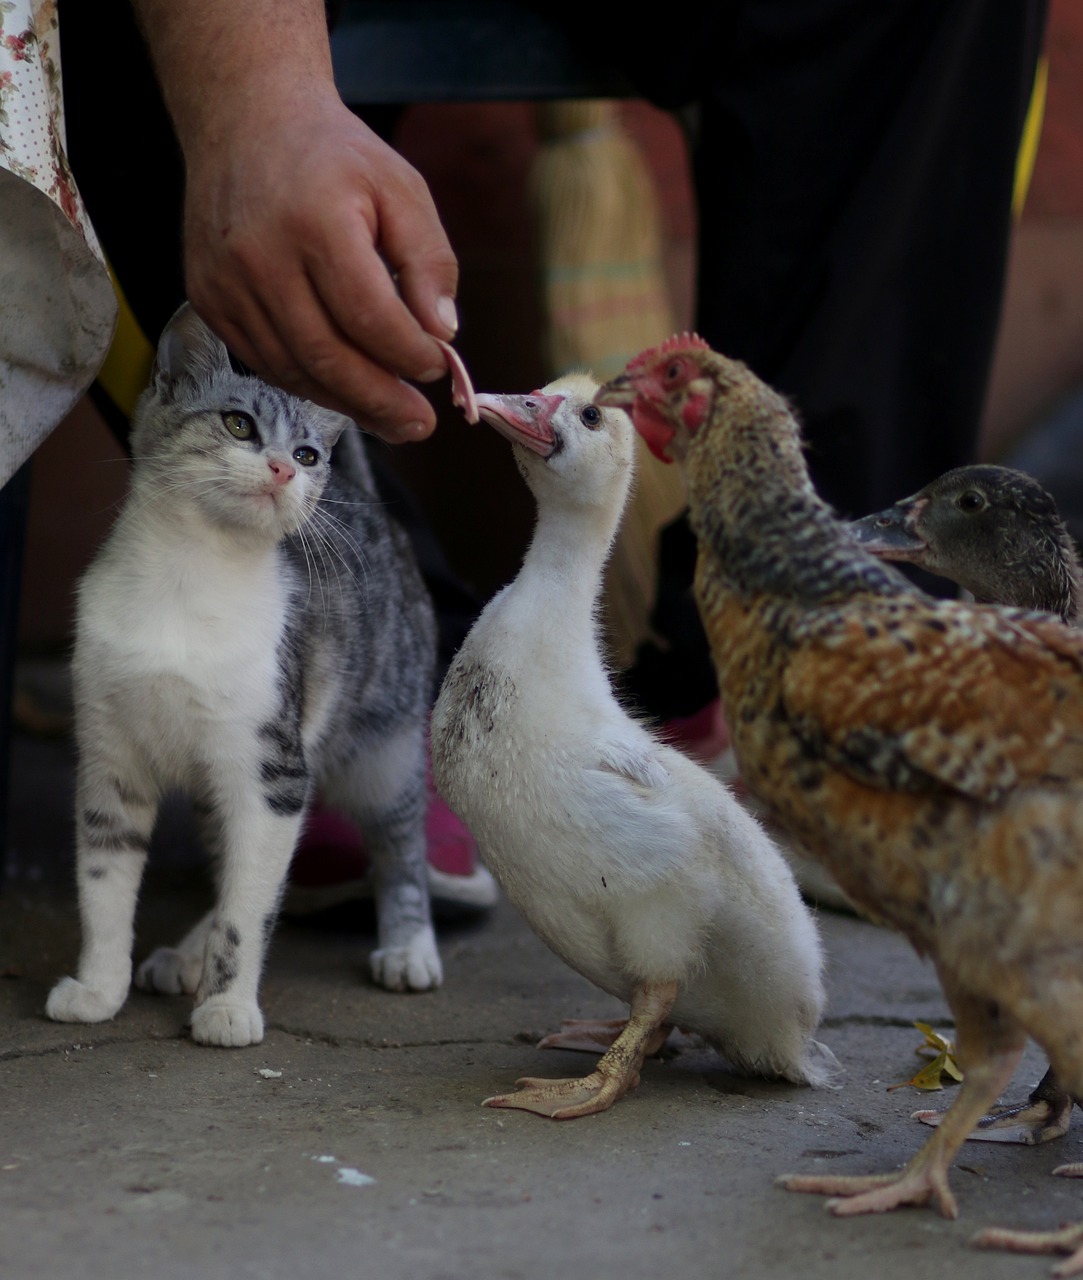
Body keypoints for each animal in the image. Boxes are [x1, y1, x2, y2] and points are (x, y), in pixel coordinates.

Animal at [42, 304, 440, 1044]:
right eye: (238, 424)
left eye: (308, 454)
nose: (285, 468)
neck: (186, 577)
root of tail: (367, 503)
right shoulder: (111, 765)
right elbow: (104, 888)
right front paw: (99, 987)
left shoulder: (272, 774)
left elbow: (249, 909)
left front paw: (227, 1007)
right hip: (214, 791)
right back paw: (184, 955)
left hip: (386, 749)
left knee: (399, 843)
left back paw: (408, 947)